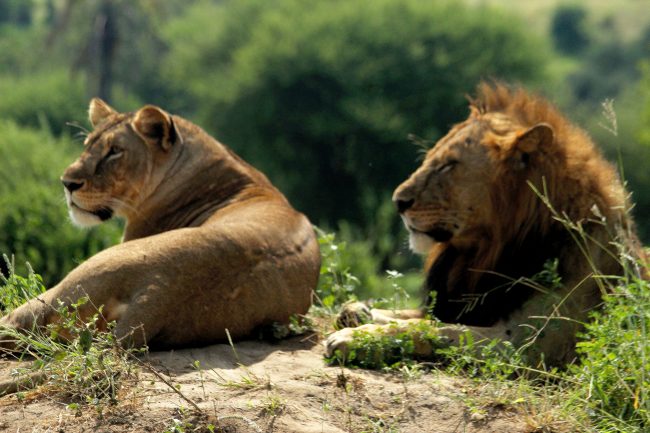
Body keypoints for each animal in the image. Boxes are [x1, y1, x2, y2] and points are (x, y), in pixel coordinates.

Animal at [326, 82, 646, 366]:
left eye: (448, 165)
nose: (398, 202)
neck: (484, 254)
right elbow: (410, 315)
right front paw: (358, 310)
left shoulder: (527, 344)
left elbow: (435, 330)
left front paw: (356, 338)